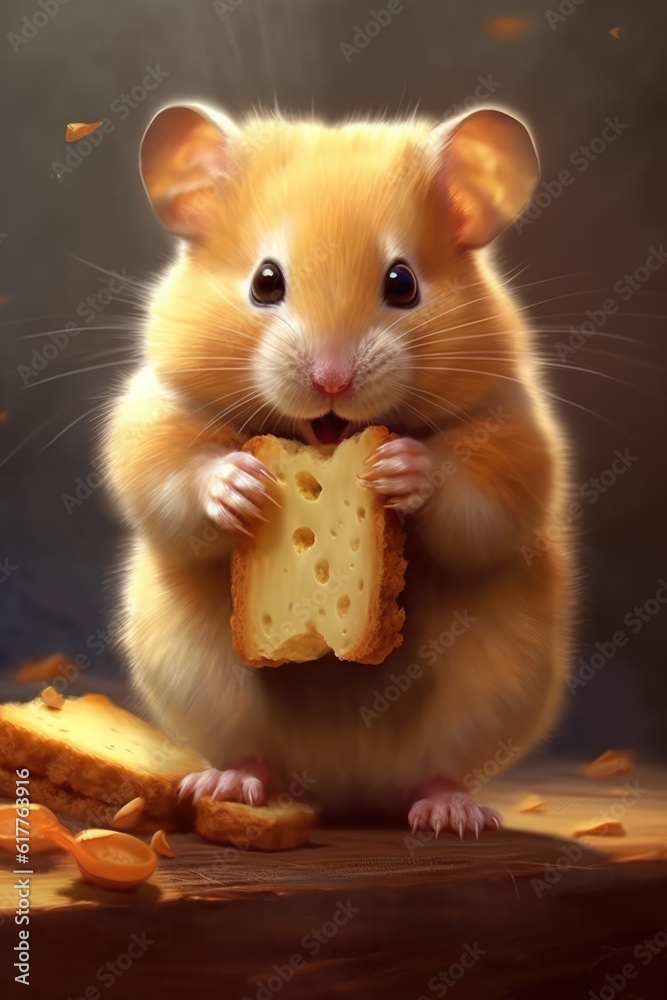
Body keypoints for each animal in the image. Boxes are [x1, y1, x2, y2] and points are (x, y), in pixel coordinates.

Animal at [103, 103, 573, 837]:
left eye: (402, 283)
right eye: (265, 281)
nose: (331, 380)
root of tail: (345, 792)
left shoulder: (516, 433)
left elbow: (478, 499)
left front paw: (402, 468)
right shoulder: (153, 411)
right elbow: (171, 471)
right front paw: (241, 484)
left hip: (494, 695)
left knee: (442, 770)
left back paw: (451, 814)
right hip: (199, 684)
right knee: (253, 756)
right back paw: (228, 784)